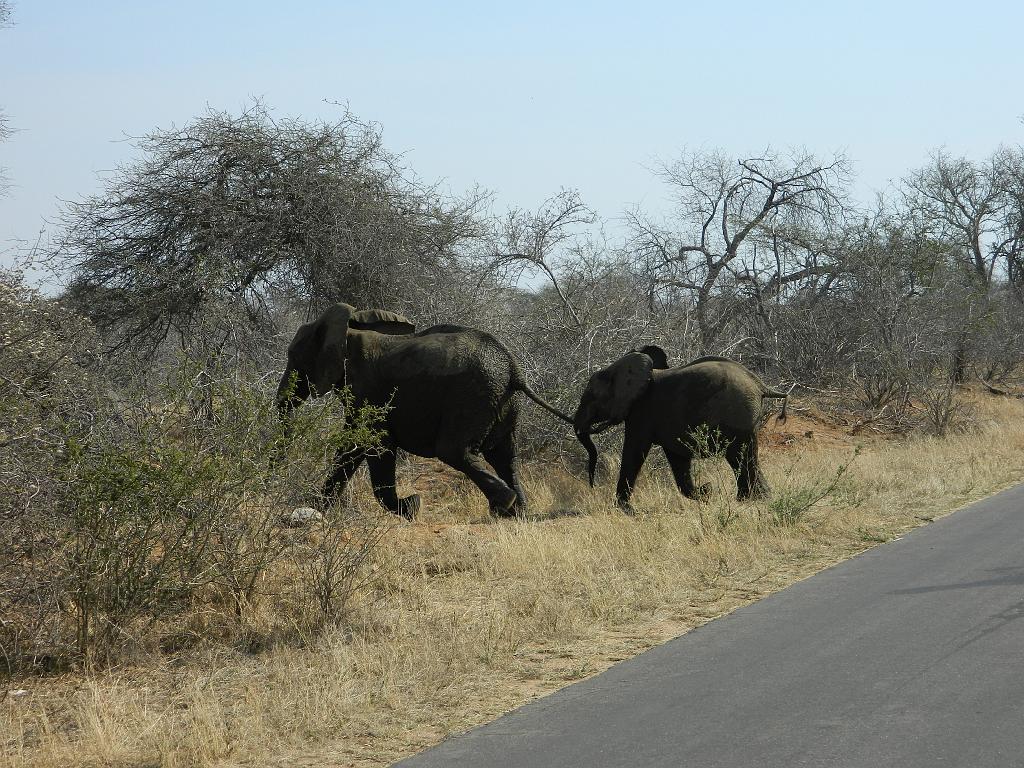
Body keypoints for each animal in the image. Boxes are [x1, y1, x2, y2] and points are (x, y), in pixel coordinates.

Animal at [276, 303, 573, 520]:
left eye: (294, 357)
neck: (347, 332)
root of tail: (514, 368)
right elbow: (354, 446)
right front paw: (317, 505)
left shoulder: (365, 389)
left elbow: (374, 444)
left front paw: (412, 506)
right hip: (501, 402)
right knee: (504, 455)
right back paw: (516, 511)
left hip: (472, 396)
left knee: (454, 450)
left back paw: (504, 506)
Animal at [577, 352, 790, 514]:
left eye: (590, 398)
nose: (592, 485)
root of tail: (760, 385)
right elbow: (677, 458)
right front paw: (705, 494)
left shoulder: (641, 411)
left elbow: (634, 451)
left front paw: (624, 510)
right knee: (745, 455)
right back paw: (759, 498)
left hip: (738, 413)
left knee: (740, 455)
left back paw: (750, 500)